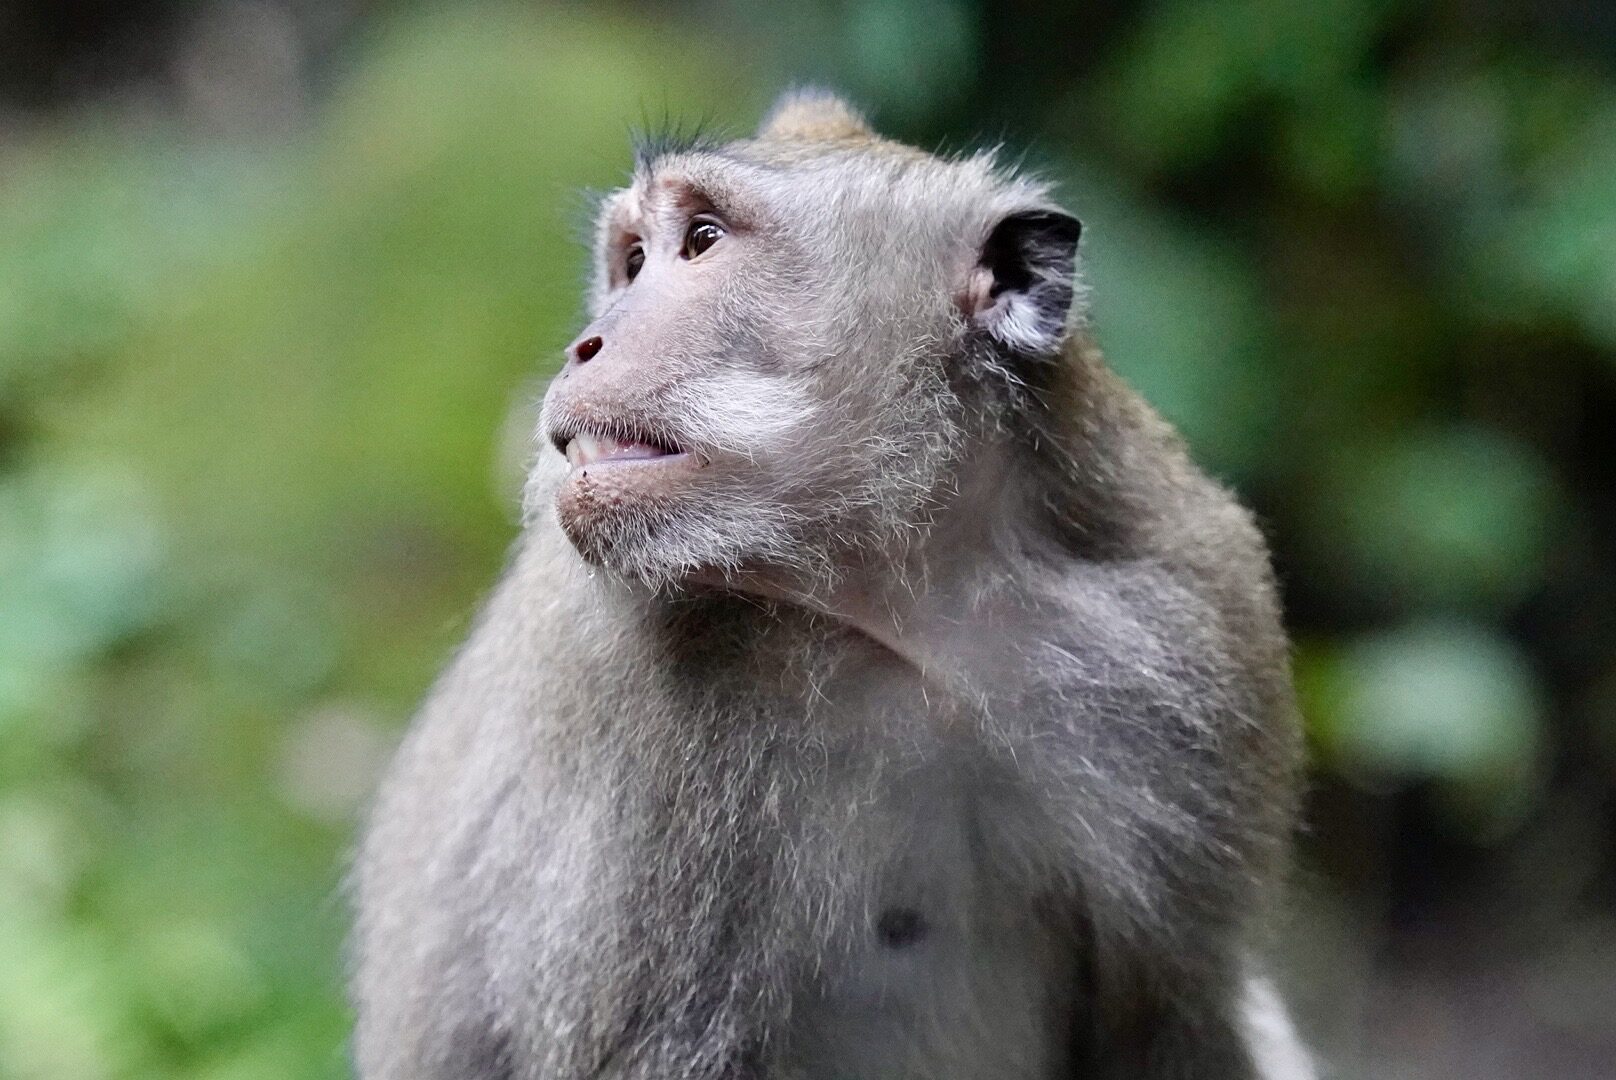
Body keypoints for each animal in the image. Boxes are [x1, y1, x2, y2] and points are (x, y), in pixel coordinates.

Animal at [350, 89, 1315, 1080]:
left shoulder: (1188, 628)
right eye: (632, 262)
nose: (587, 344)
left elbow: (1164, 1016)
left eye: (701, 240)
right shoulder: (634, 702)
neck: (911, 608)